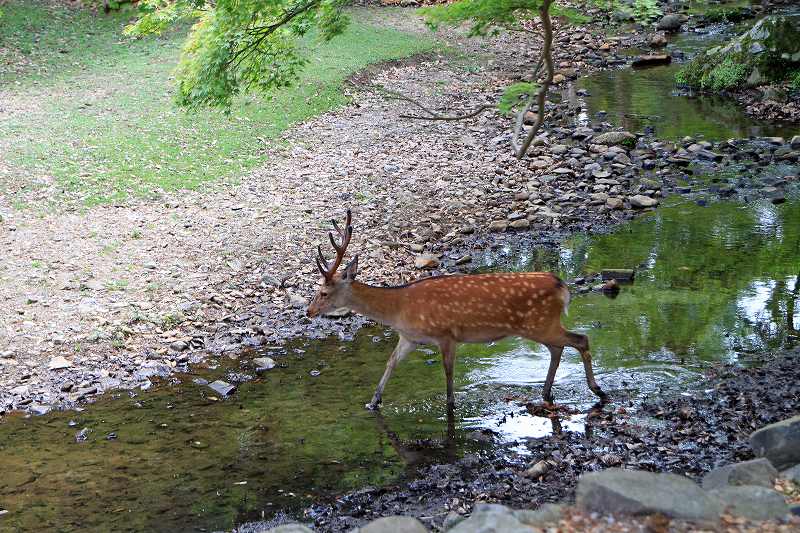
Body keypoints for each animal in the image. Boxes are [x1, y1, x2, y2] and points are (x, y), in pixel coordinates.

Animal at [308, 210, 608, 410]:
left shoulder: (446, 334)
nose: (308, 311)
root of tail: (562, 286)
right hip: (541, 325)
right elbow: (391, 362)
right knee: (559, 348)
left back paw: (597, 390)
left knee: (580, 339)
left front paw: (450, 404)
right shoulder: (410, 338)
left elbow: (449, 372)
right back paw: (547, 392)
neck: (400, 308)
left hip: (541, 322)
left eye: (323, 293)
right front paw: (373, 401)